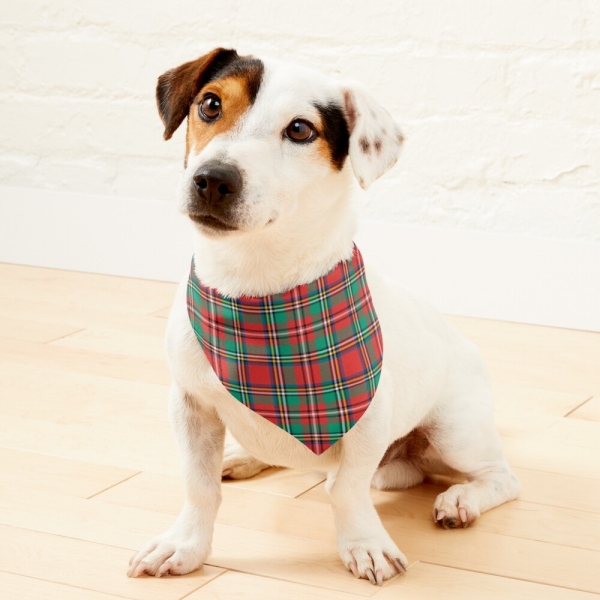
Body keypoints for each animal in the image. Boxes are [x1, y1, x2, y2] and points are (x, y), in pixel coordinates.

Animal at [127, 48, 520, 584]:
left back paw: (461, 499)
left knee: (500, 477)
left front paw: (365, 544)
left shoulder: (368, 420)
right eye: (210, 104)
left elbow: (347, 490)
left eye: (299, 130)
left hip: (456, 432)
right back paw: (243, 456)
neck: (257, 289)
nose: (212, 179)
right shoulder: (190, 405)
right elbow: (199, 486)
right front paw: (185, 545)